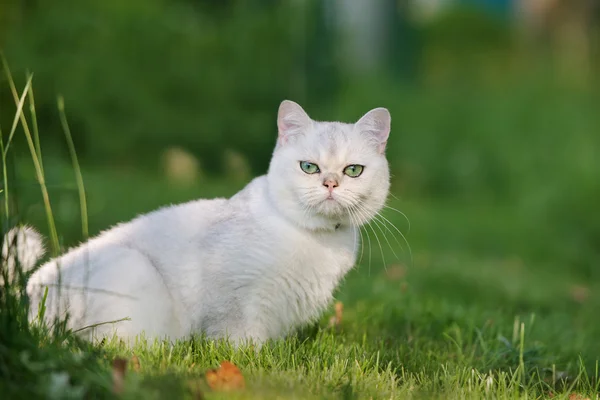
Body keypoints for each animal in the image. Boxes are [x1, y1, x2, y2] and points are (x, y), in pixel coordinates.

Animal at [4, 101, 392, 344]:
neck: (316, 240)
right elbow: (240, 345)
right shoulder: (234, 301)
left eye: (352, 171)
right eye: (309, 167)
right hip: (134, 271)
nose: (331, 184)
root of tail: (26, 293)